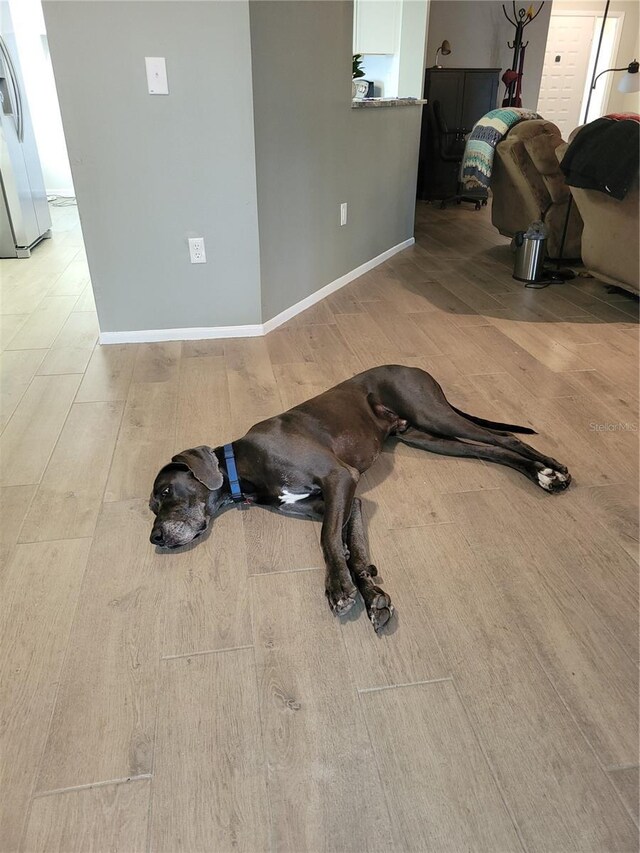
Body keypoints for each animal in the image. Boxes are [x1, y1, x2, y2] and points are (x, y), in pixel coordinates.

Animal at [150, 362, 568, 628]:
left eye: (165, 492)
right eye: (152, 505)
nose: (154, 537)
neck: (245, 467)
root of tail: (415, 368)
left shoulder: (340, 479)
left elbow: (328, 541)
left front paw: (337, 589)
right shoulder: (343, 501)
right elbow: (352, 549)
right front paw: (371, 594)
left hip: (433, 415)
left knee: (505, 437)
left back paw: (551, 472)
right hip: (425, 437)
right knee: (491, 451)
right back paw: (541, 473)